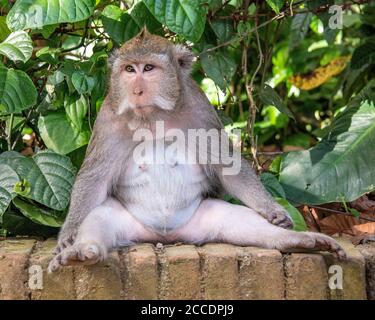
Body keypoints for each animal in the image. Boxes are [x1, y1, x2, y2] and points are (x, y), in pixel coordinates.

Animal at [47, 28, 346, 272]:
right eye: (129, 70)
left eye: (148, 68)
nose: (136, 90)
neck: (154, 117)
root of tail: (164, 237)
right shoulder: (108, 120)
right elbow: (94, 179)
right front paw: (69, 235)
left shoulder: (200, 112)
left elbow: (227, 166)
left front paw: (272, 210)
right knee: (100, 216)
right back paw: (83, 252)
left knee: (233, 218)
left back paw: (299, 240)